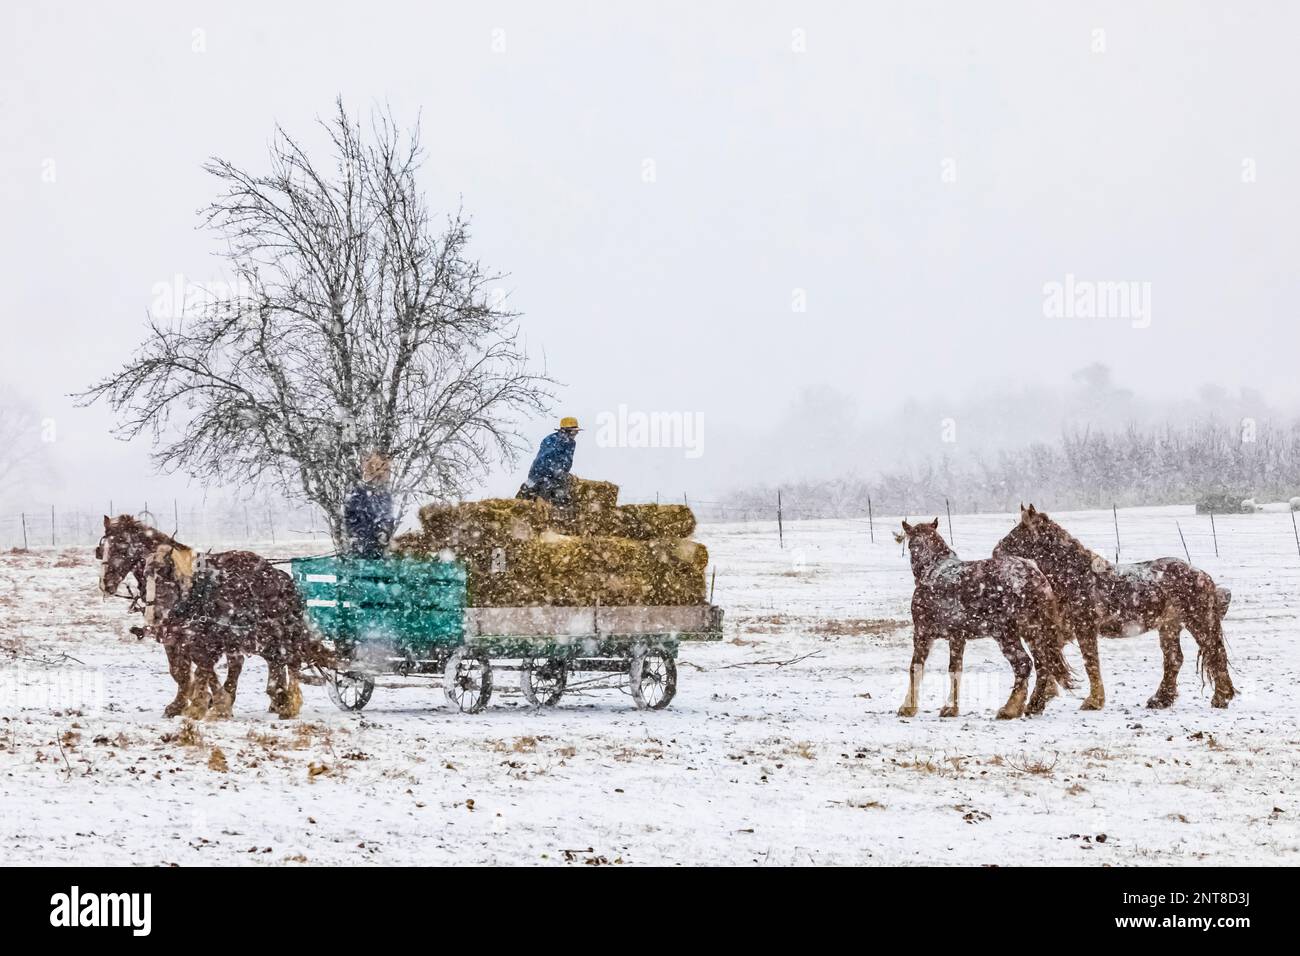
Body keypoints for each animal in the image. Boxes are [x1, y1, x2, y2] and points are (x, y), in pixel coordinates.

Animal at [96, 515, 330, 717]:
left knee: (286, 658)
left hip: (270, 629)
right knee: (267, 659)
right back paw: (275, 697)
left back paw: (283, 699)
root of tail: (279, 575)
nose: (105, 583)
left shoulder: (198, 637)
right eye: (101, 549)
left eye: (121, 546)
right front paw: (186, 703)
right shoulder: (173, 636)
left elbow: (198, 667)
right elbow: (180, 671)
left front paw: (207, 702)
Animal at [899, 522, 1071, 717]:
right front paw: (951, 707)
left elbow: (917, 668)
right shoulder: (957, 637)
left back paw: (1010, 709)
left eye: (911, 545)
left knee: (1024, 664)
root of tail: (1034, 575)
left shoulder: (923, 633)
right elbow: (955, 669)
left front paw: (910, 707)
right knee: (1042, 665)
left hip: (1006, 634)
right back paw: (1033, 705)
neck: (933, 571)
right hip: (1032, 633)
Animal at [998, 509, 1232, 712]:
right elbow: (1052, 658)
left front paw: (1092, 701)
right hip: (1169, 627)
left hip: (1198, 621)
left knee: (1214, 652)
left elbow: (1090, 662)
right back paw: (1161, 699)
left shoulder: (1084, 628)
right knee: (1175, 659)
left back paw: (1221, 697)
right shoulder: (1064, 629)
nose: (996, 553)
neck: (1076, 576)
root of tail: (1202, 574)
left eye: (1014, 537)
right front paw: (1041, 698)